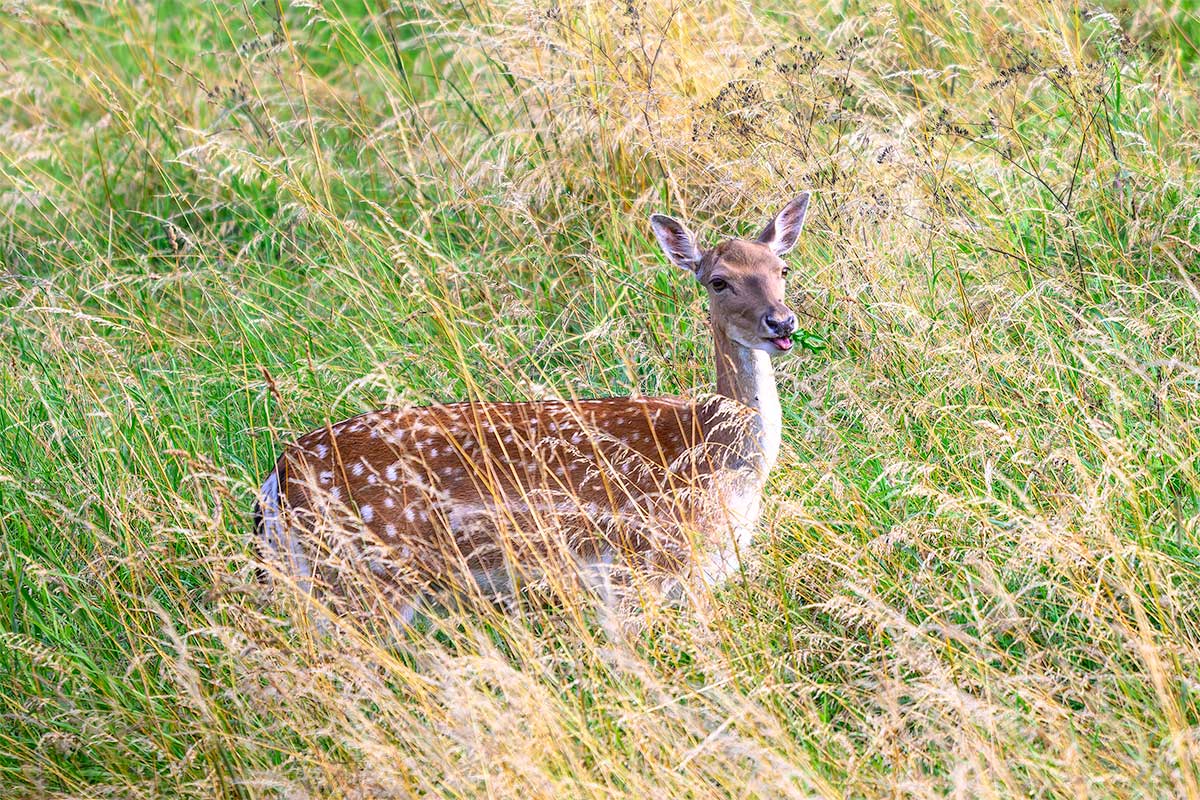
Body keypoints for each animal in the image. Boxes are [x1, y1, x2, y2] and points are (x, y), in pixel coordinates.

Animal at [255, 193, 811, 627]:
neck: (720, 451)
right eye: (718, 280)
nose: (781, 322)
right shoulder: (645, 569)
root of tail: (277, 482)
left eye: (782, 269)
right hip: (368, 572)